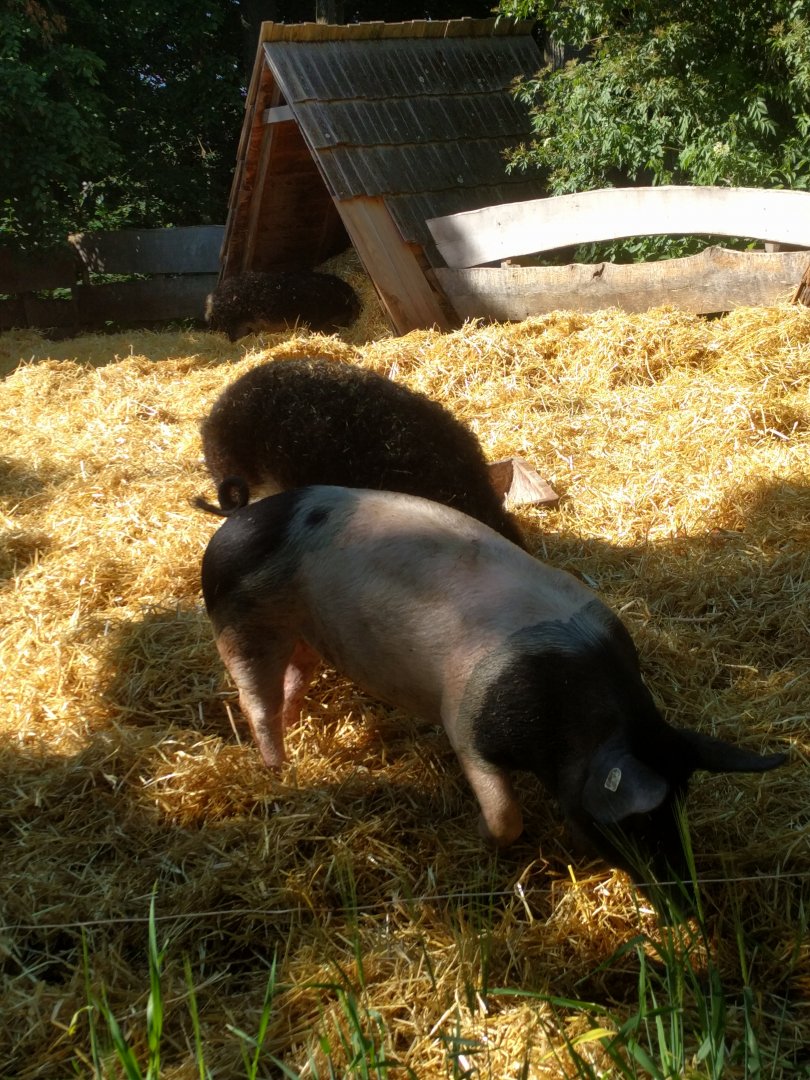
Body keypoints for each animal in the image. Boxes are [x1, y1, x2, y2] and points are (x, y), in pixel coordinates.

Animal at [201, 485, 787, 896]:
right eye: (637, 825)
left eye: (680, 808)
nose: (686, 896)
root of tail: (234, 520)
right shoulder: (465, 723)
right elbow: (507, 816)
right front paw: (483, 836)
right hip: (238, 624)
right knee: (256, 703)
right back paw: (280, 771)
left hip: (305, 633)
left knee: (293, 679)